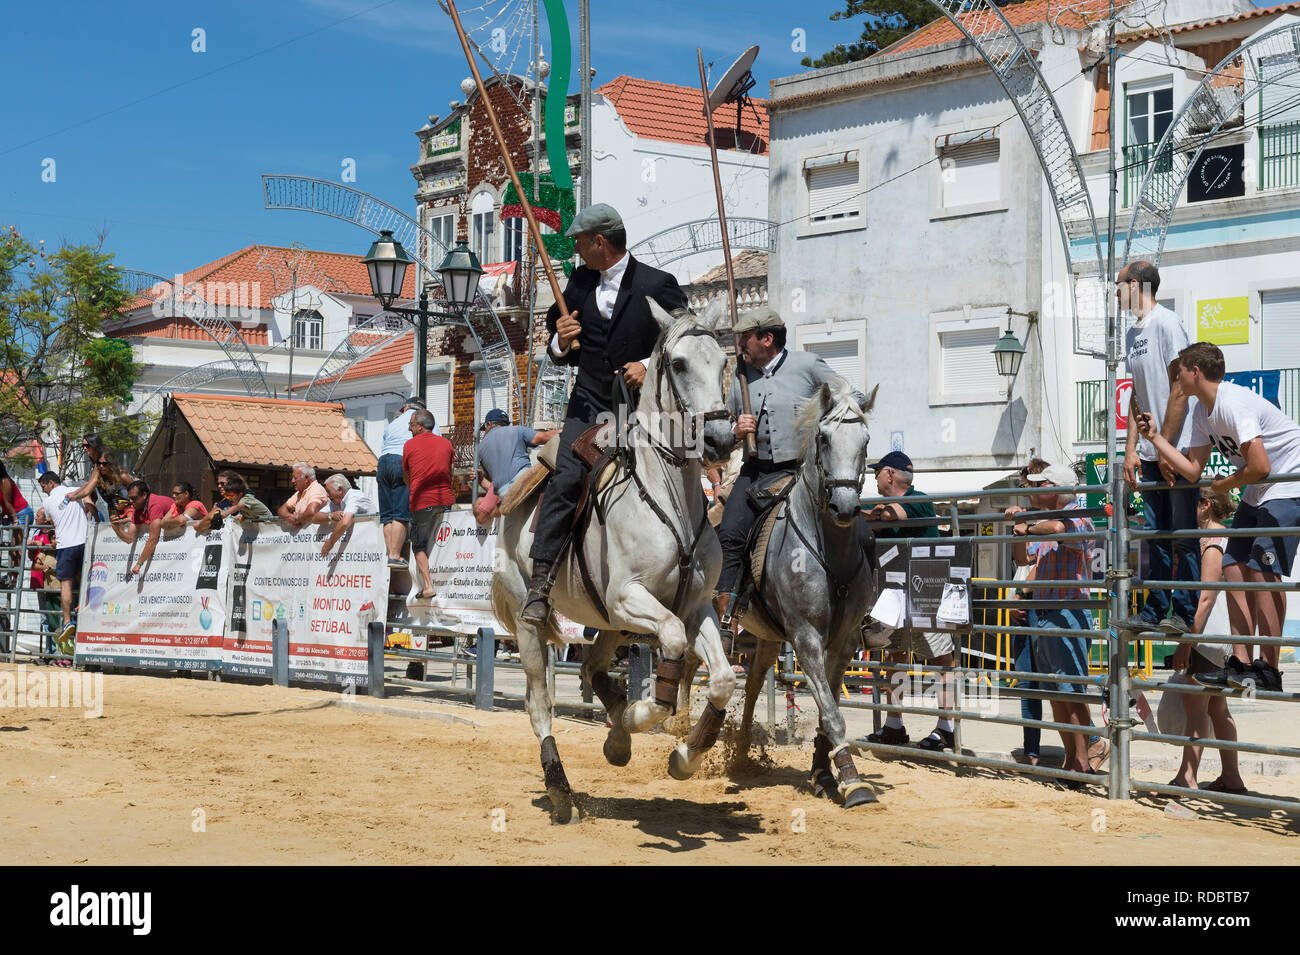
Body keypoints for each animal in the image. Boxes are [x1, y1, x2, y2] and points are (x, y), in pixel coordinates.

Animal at [488, 298, 738, 821]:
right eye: (679, 364)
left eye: (723, 363)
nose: (721, 441)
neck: (669, 495)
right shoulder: (630, 598)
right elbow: (671, 649)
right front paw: (642, 715)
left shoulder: (696, 607)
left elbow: (723, 679)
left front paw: (684, 755)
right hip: (532, 622)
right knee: (539, 704)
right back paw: (561, 788)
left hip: (608, 623)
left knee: (590, 668)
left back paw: (617, 738)